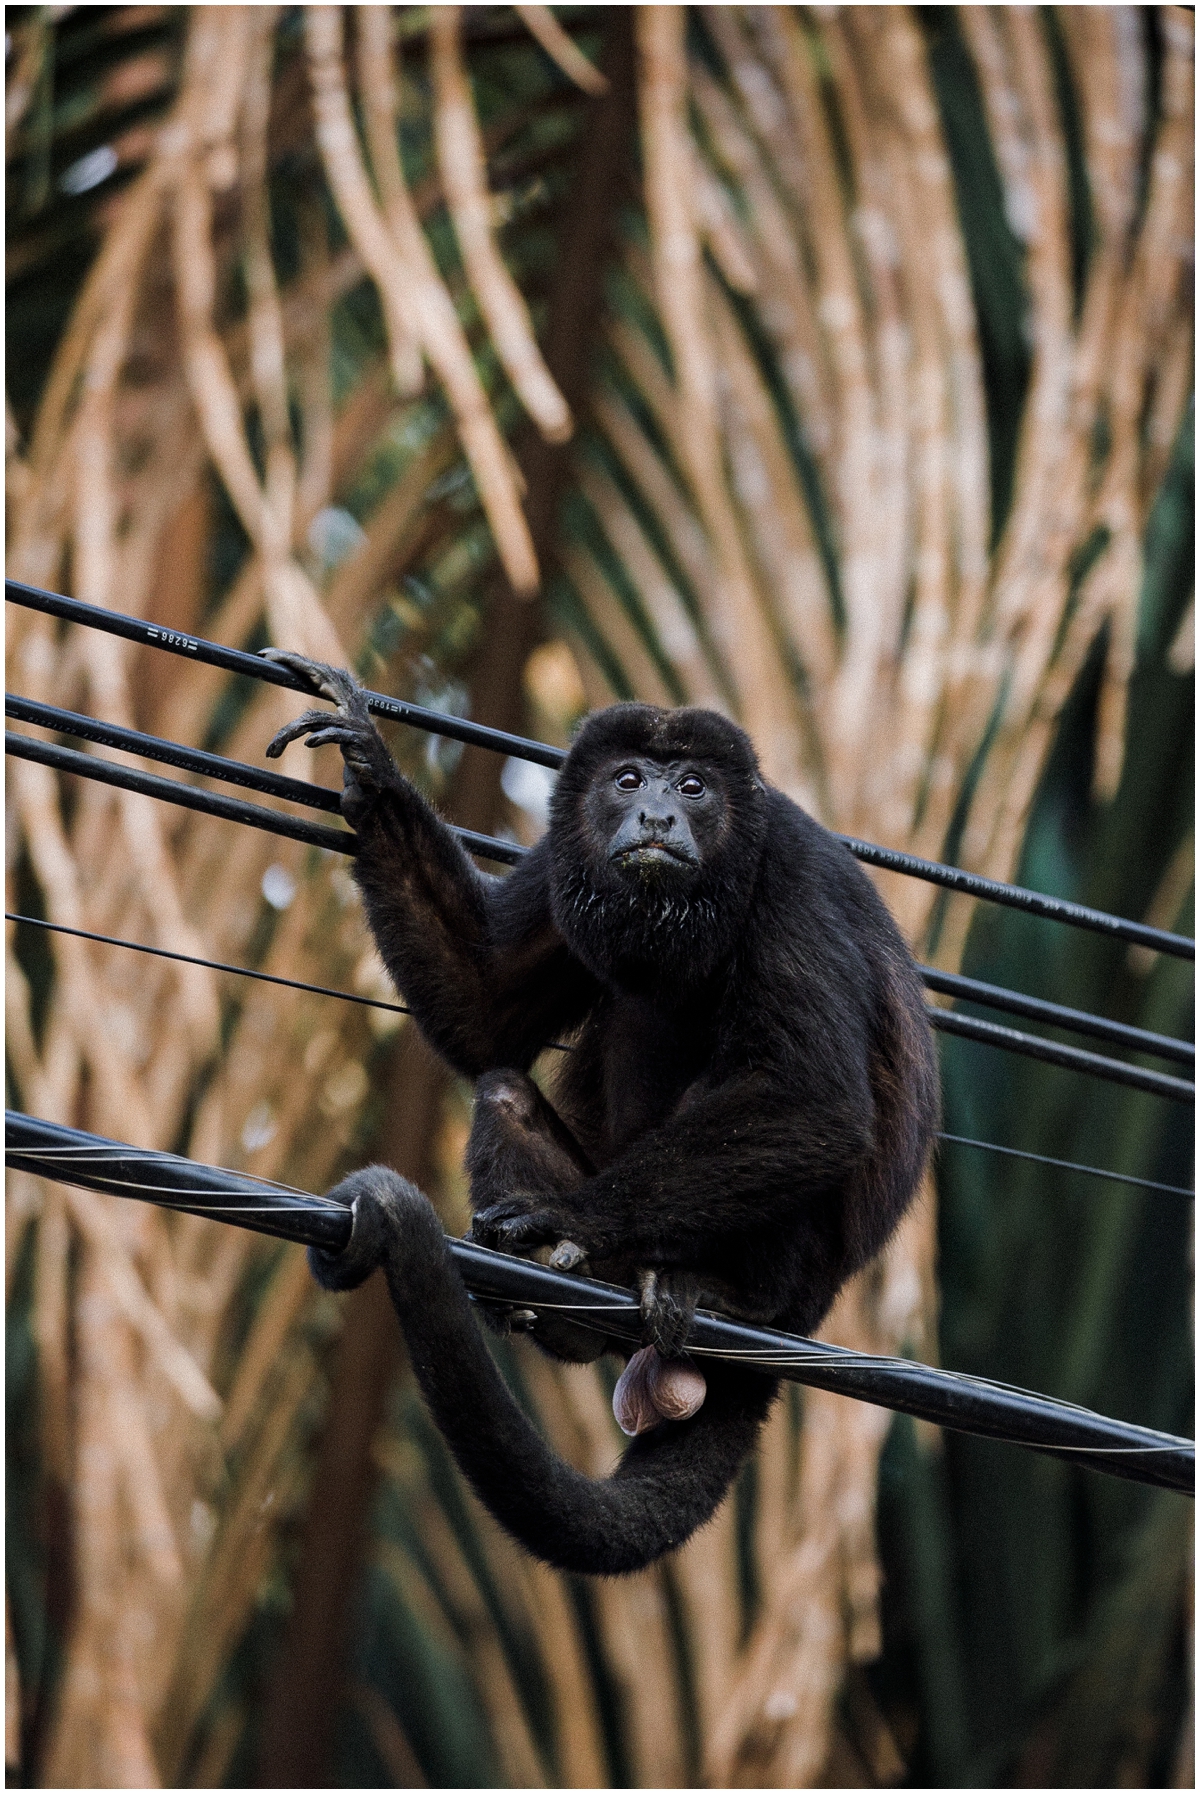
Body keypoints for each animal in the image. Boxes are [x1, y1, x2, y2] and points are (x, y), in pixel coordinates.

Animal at [261, 656, 932, 1571]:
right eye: (628, 782)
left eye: (693, 787)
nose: (656, 815)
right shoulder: (564, 857)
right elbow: (487, 1012)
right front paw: (372, 768)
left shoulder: (796, 877)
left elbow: (815, 1097)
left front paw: (564, 1217)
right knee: (506, 1087)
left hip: (794, 1266)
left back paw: (728, 1297)